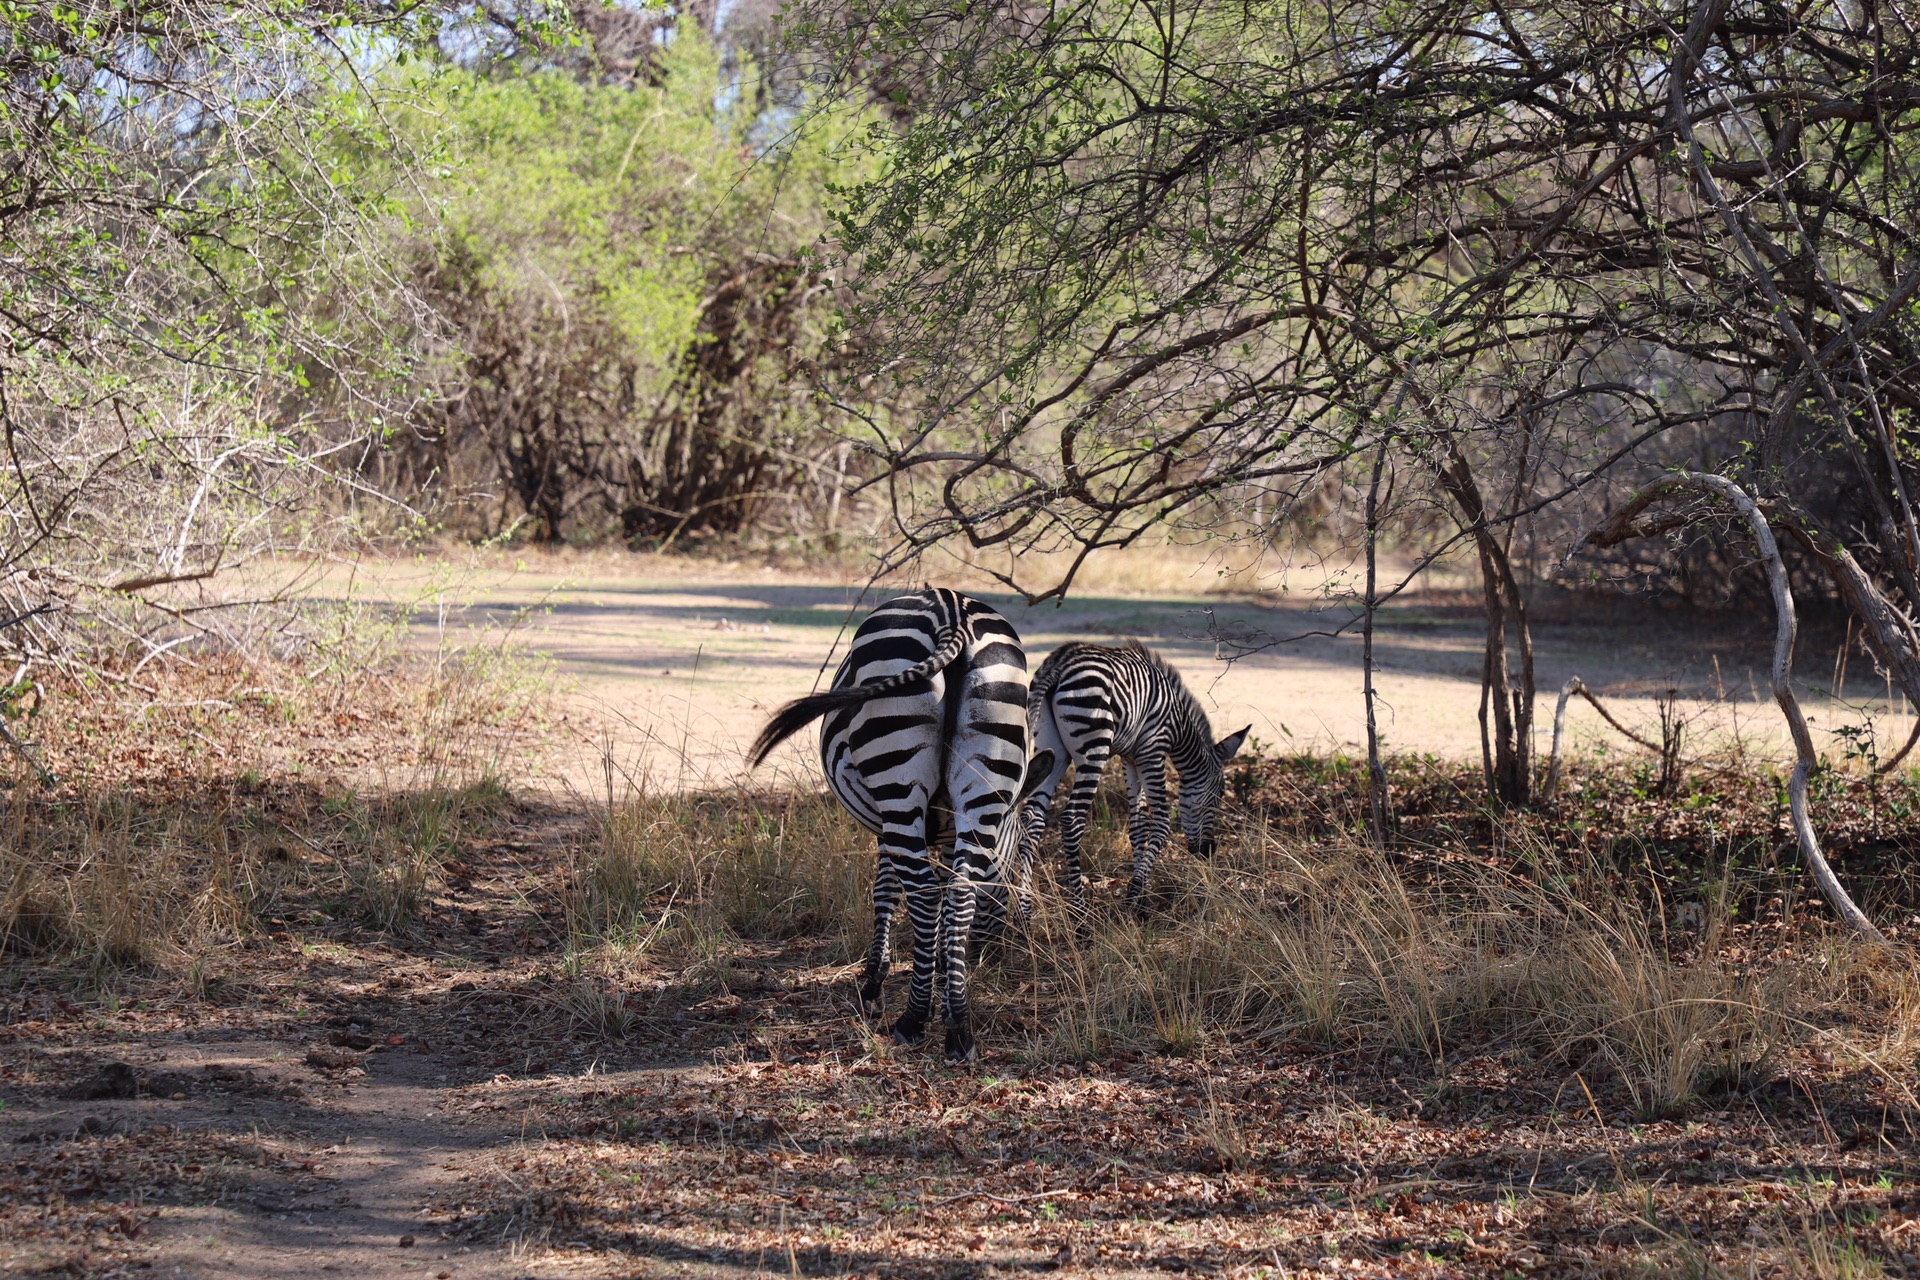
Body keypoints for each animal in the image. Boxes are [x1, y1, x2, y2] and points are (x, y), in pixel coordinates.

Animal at [744, 591, 1052, 1059]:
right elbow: (938, 894)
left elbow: (886, 890)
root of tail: (951, 609)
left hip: (898, 784)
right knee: (958, 894)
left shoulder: (887, 824)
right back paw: (960, 1028)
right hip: (984, 778)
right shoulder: (943, 833)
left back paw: (913, 1019)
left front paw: (875, 982)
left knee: (922, 893)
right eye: (1015, 856)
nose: (999, 946)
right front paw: (942, 977)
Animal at [1013, 644, 1251, 917]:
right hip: (1094, 747)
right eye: (1219, 795)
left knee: (1032, 817)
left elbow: (1138, 826)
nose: (1208, 850)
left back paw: (1024, 913)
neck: (1179, 725)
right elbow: (1161, 823)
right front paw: (1133, 895)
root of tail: (1060, 662)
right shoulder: (1153, 752)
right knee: (1072, 819)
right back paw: (1080, 914)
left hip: (1053, 748)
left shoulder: (1131, 759)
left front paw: (1141, 900)